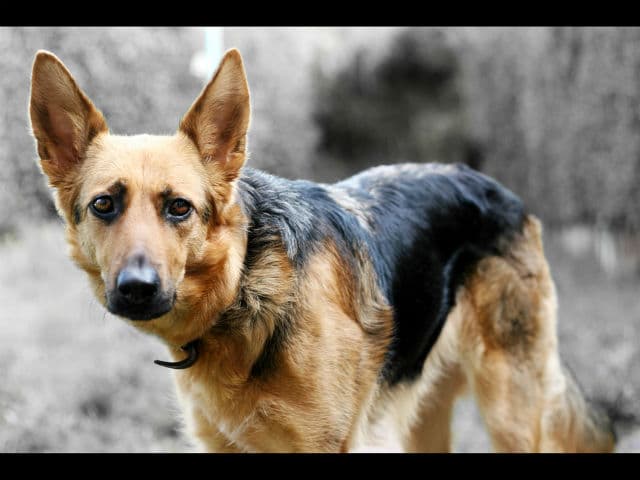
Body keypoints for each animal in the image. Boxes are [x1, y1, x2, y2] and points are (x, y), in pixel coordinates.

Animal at [30, 47, 616, 452]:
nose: (136, 289)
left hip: (509, 409)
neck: (245, 284)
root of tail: (496, 187)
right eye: (104, 205)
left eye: (179, 208)